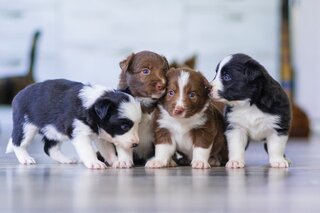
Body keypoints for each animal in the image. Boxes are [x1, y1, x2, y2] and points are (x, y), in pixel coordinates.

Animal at [5, 79, 141, 169]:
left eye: (138, 125)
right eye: (124, 127)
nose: (136, 144)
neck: (92, 105)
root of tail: (18, 95)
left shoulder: (101, 135)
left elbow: (108, 150)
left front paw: (117, 161)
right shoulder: (79, 133)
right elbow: (88, 150)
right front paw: (94, 163)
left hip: (53, 131)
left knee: (49, 148)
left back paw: (66, 159)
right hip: (26, 126)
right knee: (18, 143)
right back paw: (25, 158)